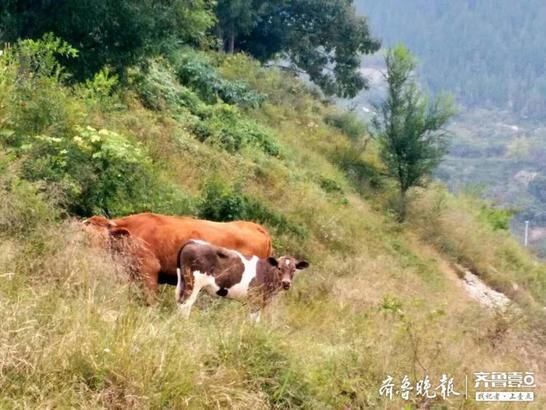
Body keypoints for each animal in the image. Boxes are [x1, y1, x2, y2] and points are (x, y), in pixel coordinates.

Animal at [175, 239, 308, 322]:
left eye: (294, 270)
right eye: (279, 268)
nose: (286, 283)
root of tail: (192, 242)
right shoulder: (255, 299)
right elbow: (254, 320)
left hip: (182, 281)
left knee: (179, 301)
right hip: (193, 283)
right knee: (186, 304)